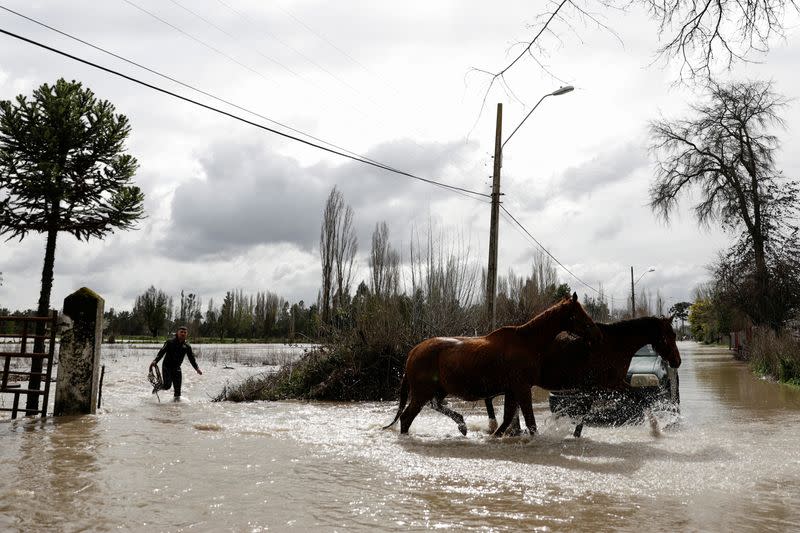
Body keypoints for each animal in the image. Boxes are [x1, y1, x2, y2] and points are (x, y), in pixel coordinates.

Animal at [382, 290, 600, 436]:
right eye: (579, 314)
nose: (596, 333)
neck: (527, 342)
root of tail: (413, 352)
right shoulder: (522, 388)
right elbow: (529, 422)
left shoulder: (513, 390)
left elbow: (508, 419)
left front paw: (496, 435)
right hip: (421, 393)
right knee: (407, 418)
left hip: (438, 390)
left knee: (435, 405)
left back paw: (462, 425)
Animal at [482, 314, 680, 434]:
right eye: (669, 336)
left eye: (675, 335)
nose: (677, 361)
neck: (613, 344)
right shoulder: (608, 384)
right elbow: (640, 399)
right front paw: (655, 429)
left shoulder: (605, 385)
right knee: (489, 398)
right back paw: (495, 425)